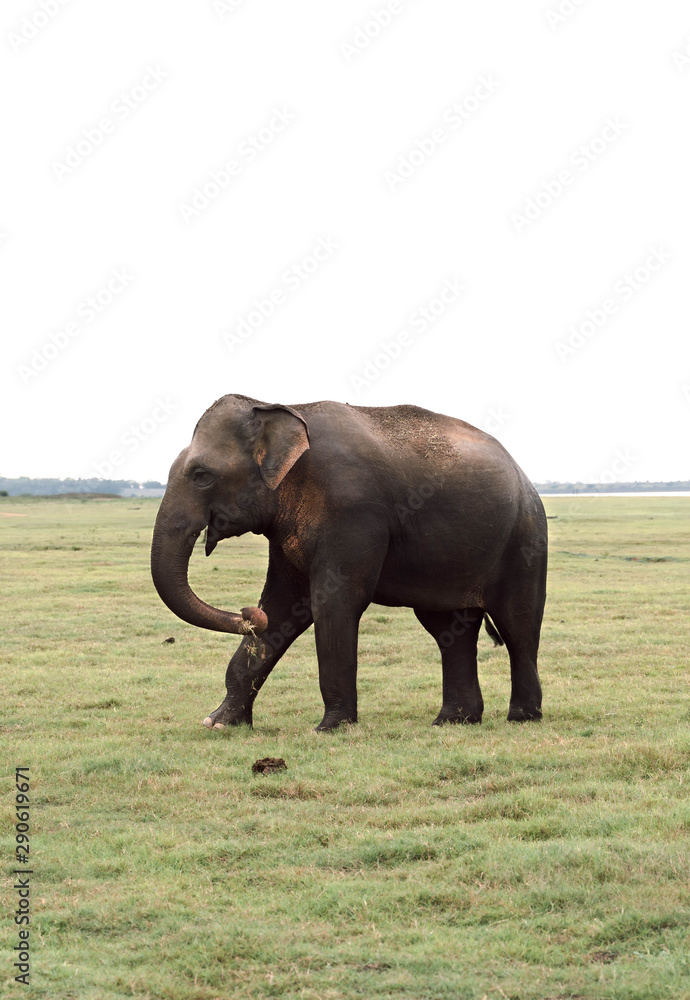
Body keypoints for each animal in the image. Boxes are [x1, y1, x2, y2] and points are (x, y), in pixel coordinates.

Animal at [150, 394, 547, 731]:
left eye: (202, 476)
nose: (248, 613)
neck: (283, 408)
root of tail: (524, 476)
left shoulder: (352, 511)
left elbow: (333, 602)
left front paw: (330, 728)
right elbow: (283, 605)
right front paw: (219, 723)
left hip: (525, 538)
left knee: (517, 625)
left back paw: (522, 718)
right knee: (450, 629)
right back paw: (453, 721)